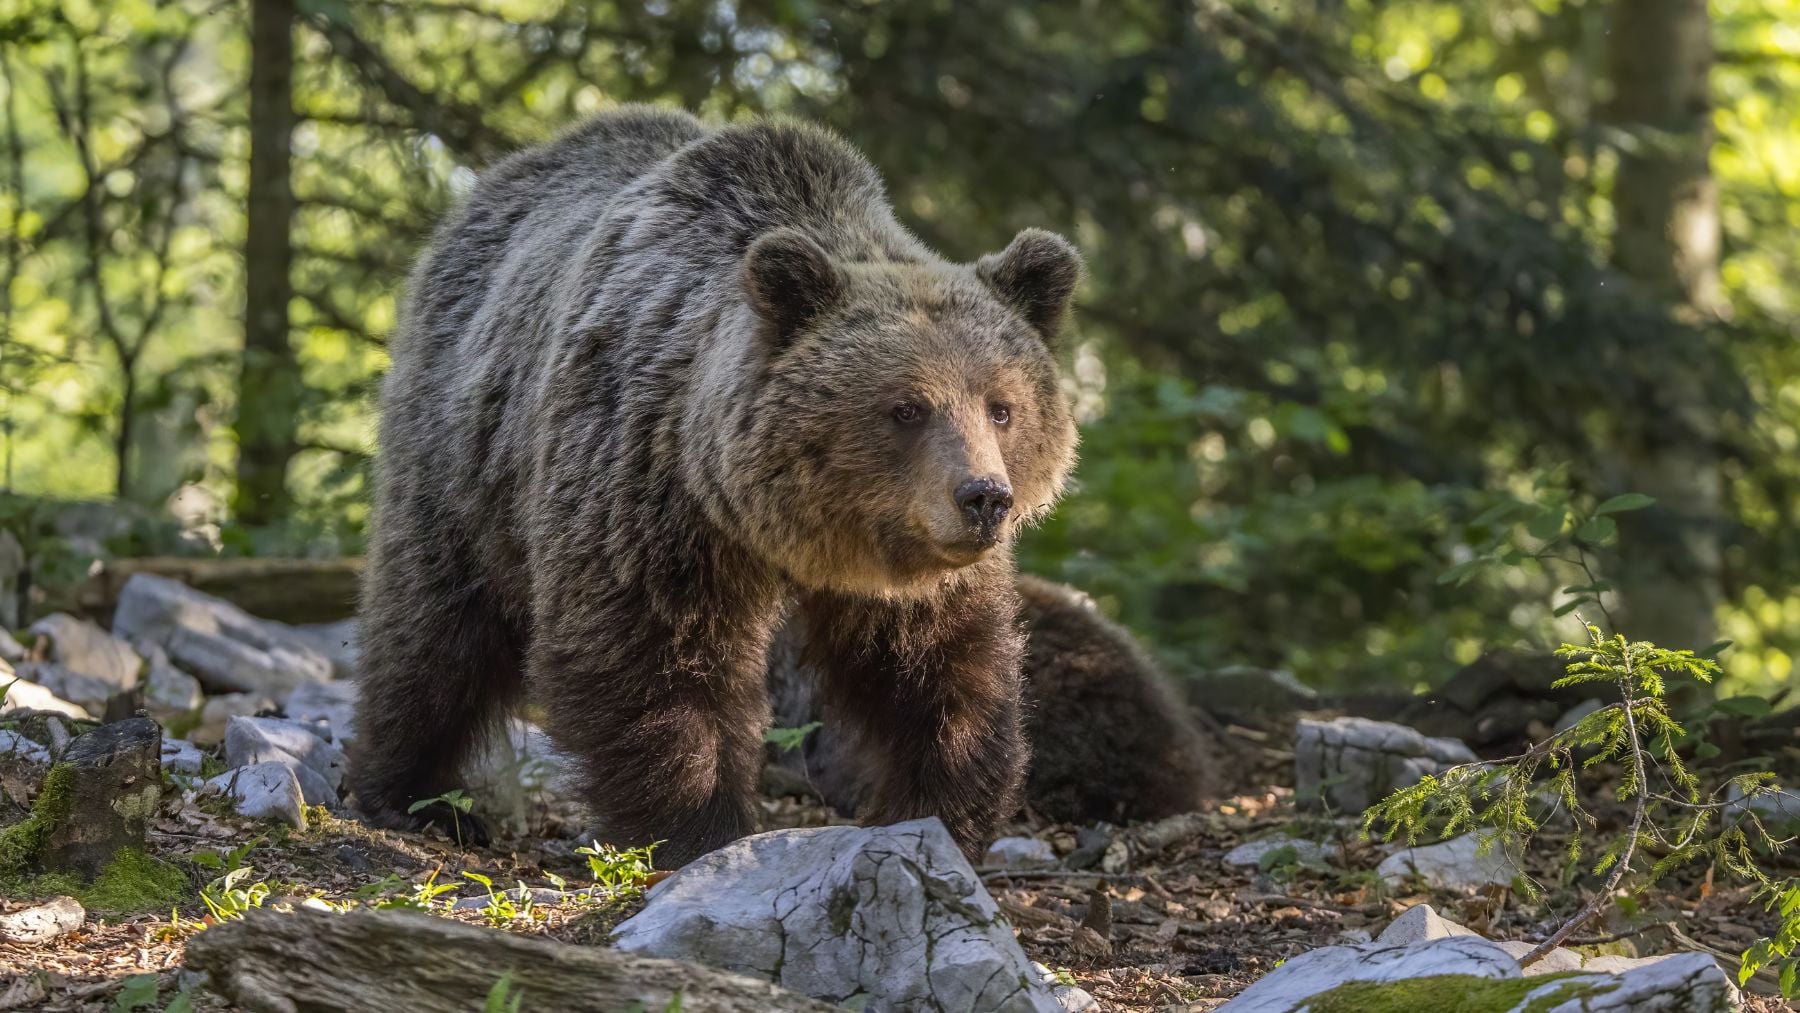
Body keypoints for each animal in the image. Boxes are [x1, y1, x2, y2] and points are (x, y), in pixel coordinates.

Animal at [350, 106, 1084, 866]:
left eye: (1002, 406)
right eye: (907, 407)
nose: (984, 497)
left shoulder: (912, 567)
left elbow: (940, 669)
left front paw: (938, 812)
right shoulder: (646, 489)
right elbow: (652, 655)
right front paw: (699, 828)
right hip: (463, 451)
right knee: (436, 626)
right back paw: (416, 794)